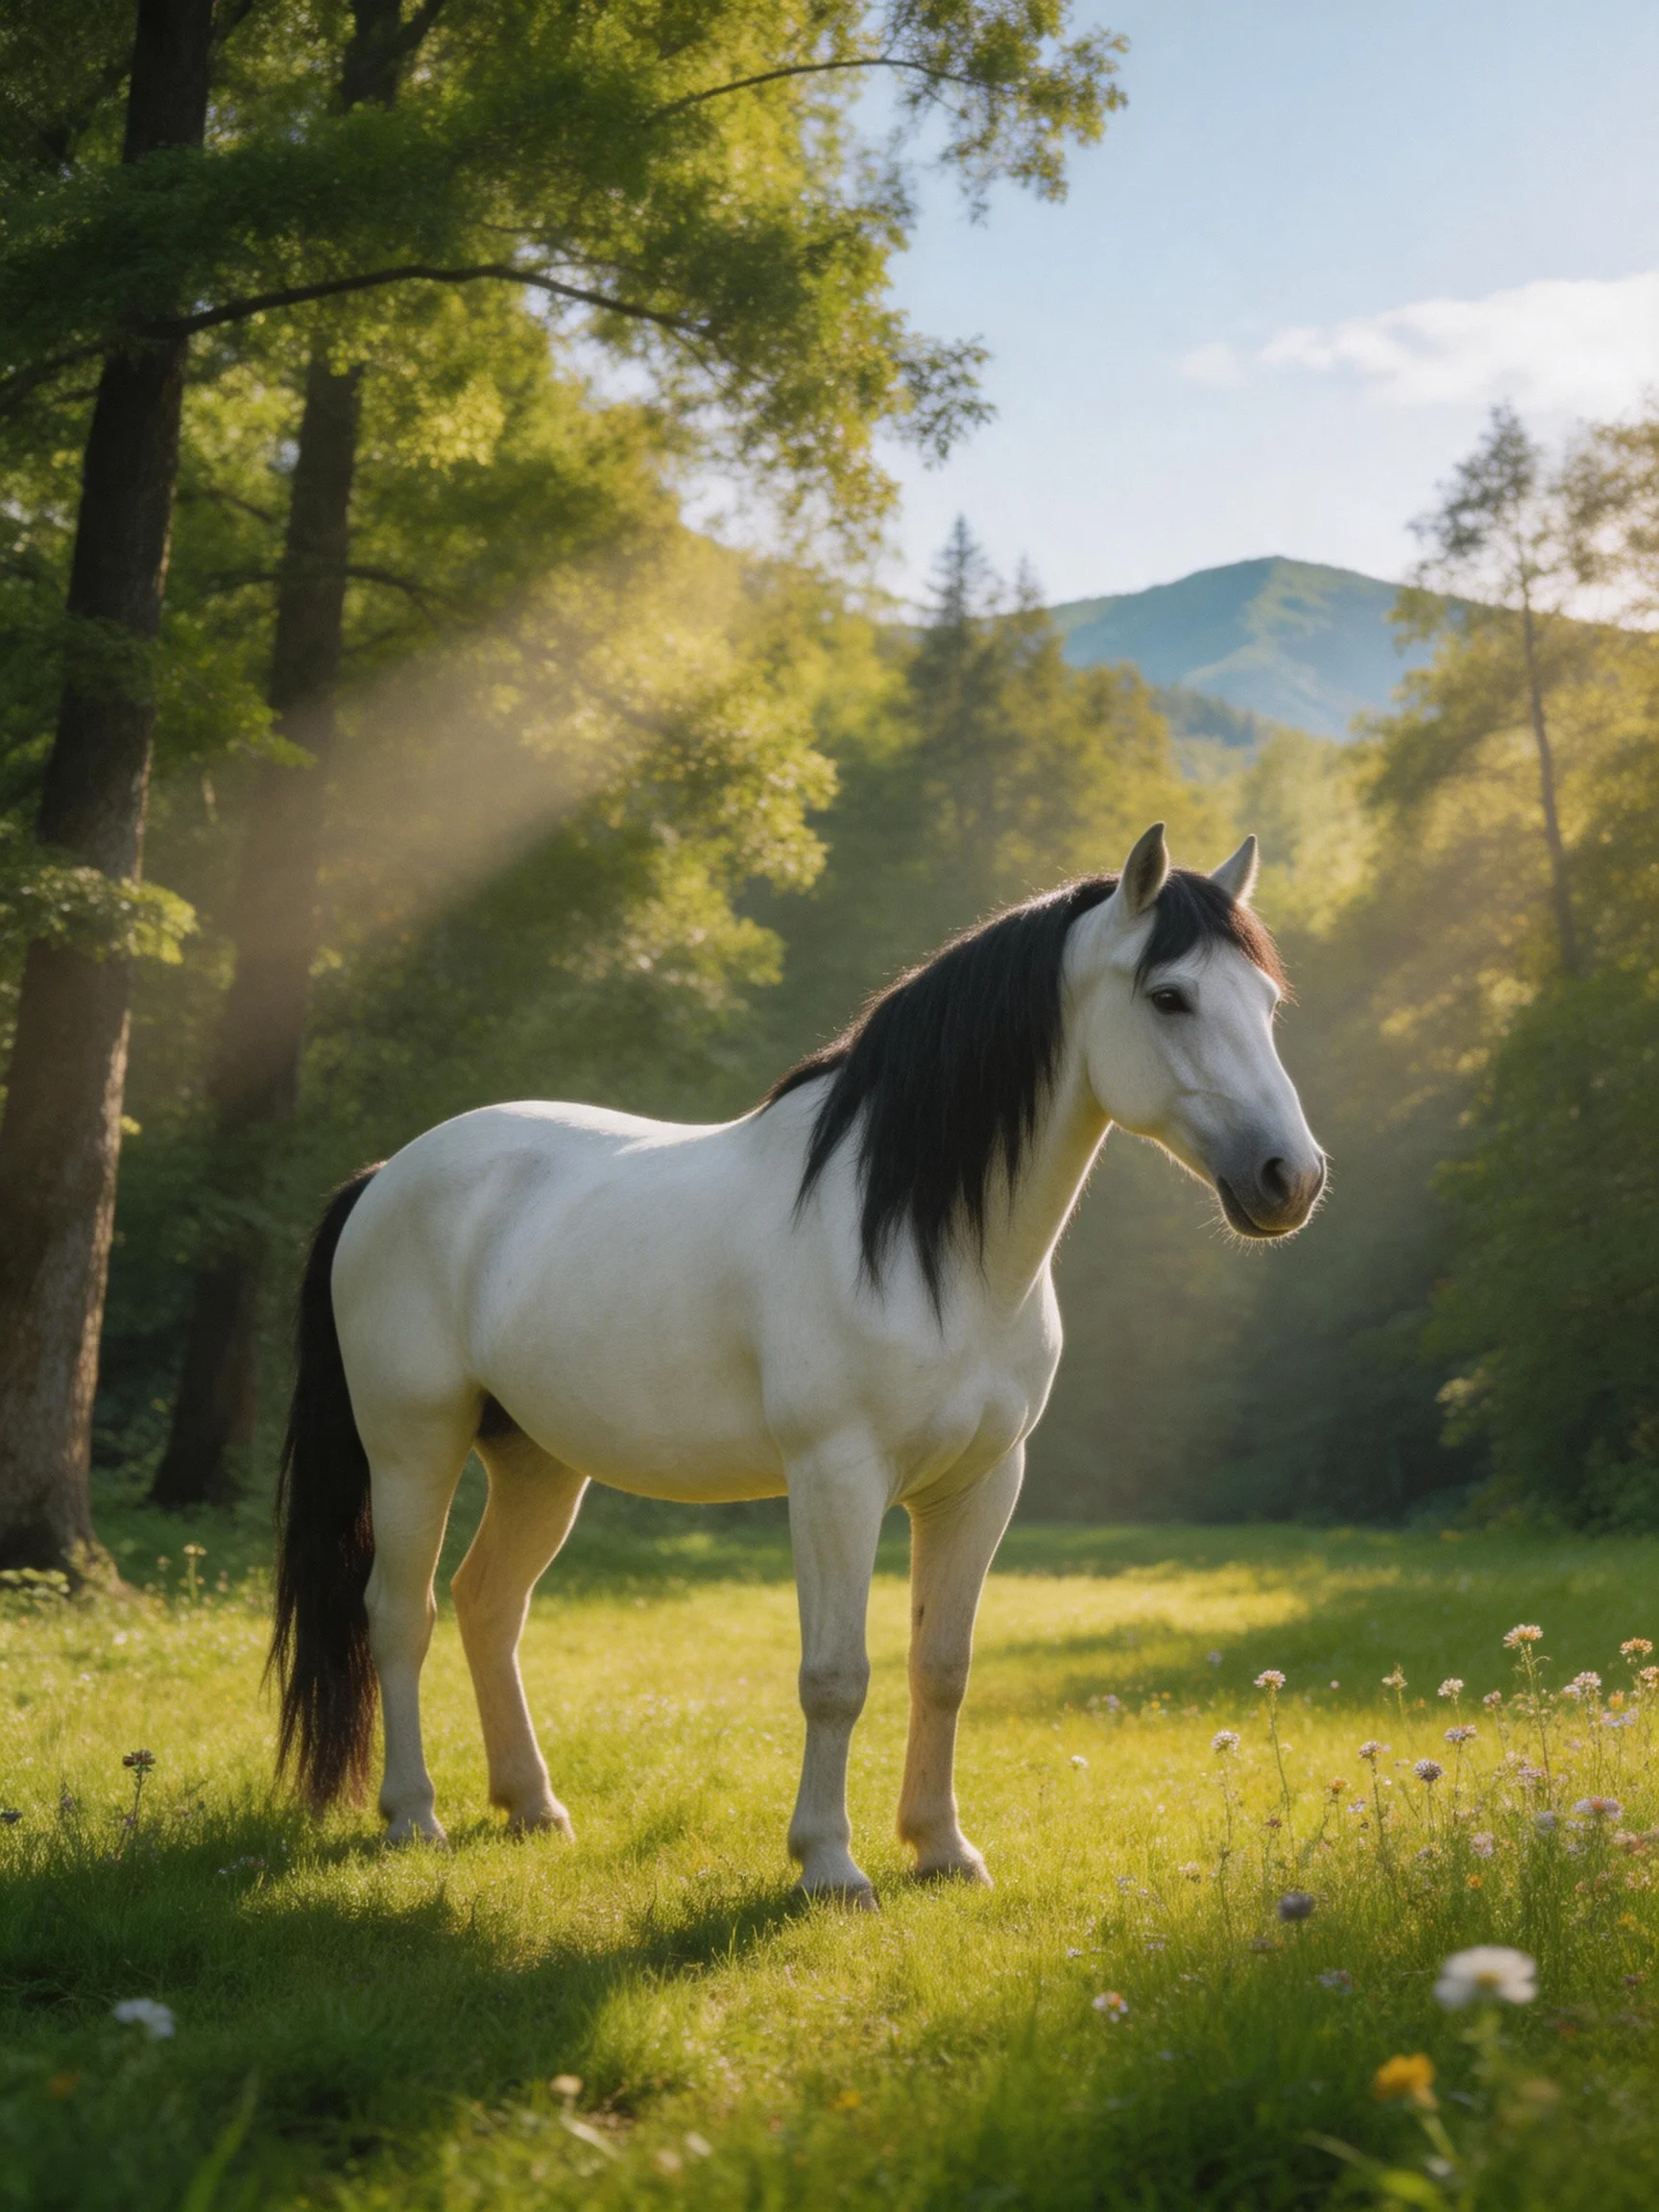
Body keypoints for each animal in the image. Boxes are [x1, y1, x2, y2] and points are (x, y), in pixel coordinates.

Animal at [270, 822, 1324, 1904]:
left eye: (1267, 1003)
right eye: (1170, 996)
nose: (1291, 1179)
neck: (922, 1240)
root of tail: (385, 1176)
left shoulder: (983, 1485)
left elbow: (942, 1665)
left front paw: (943, 1849)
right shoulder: (835, 1478)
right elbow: (836, 1676)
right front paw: (830, 1864)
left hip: (537, 1461)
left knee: (489, 1607)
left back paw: (533, 1807)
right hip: (413, 1448)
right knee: (399, 1615)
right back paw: (414, 1818)